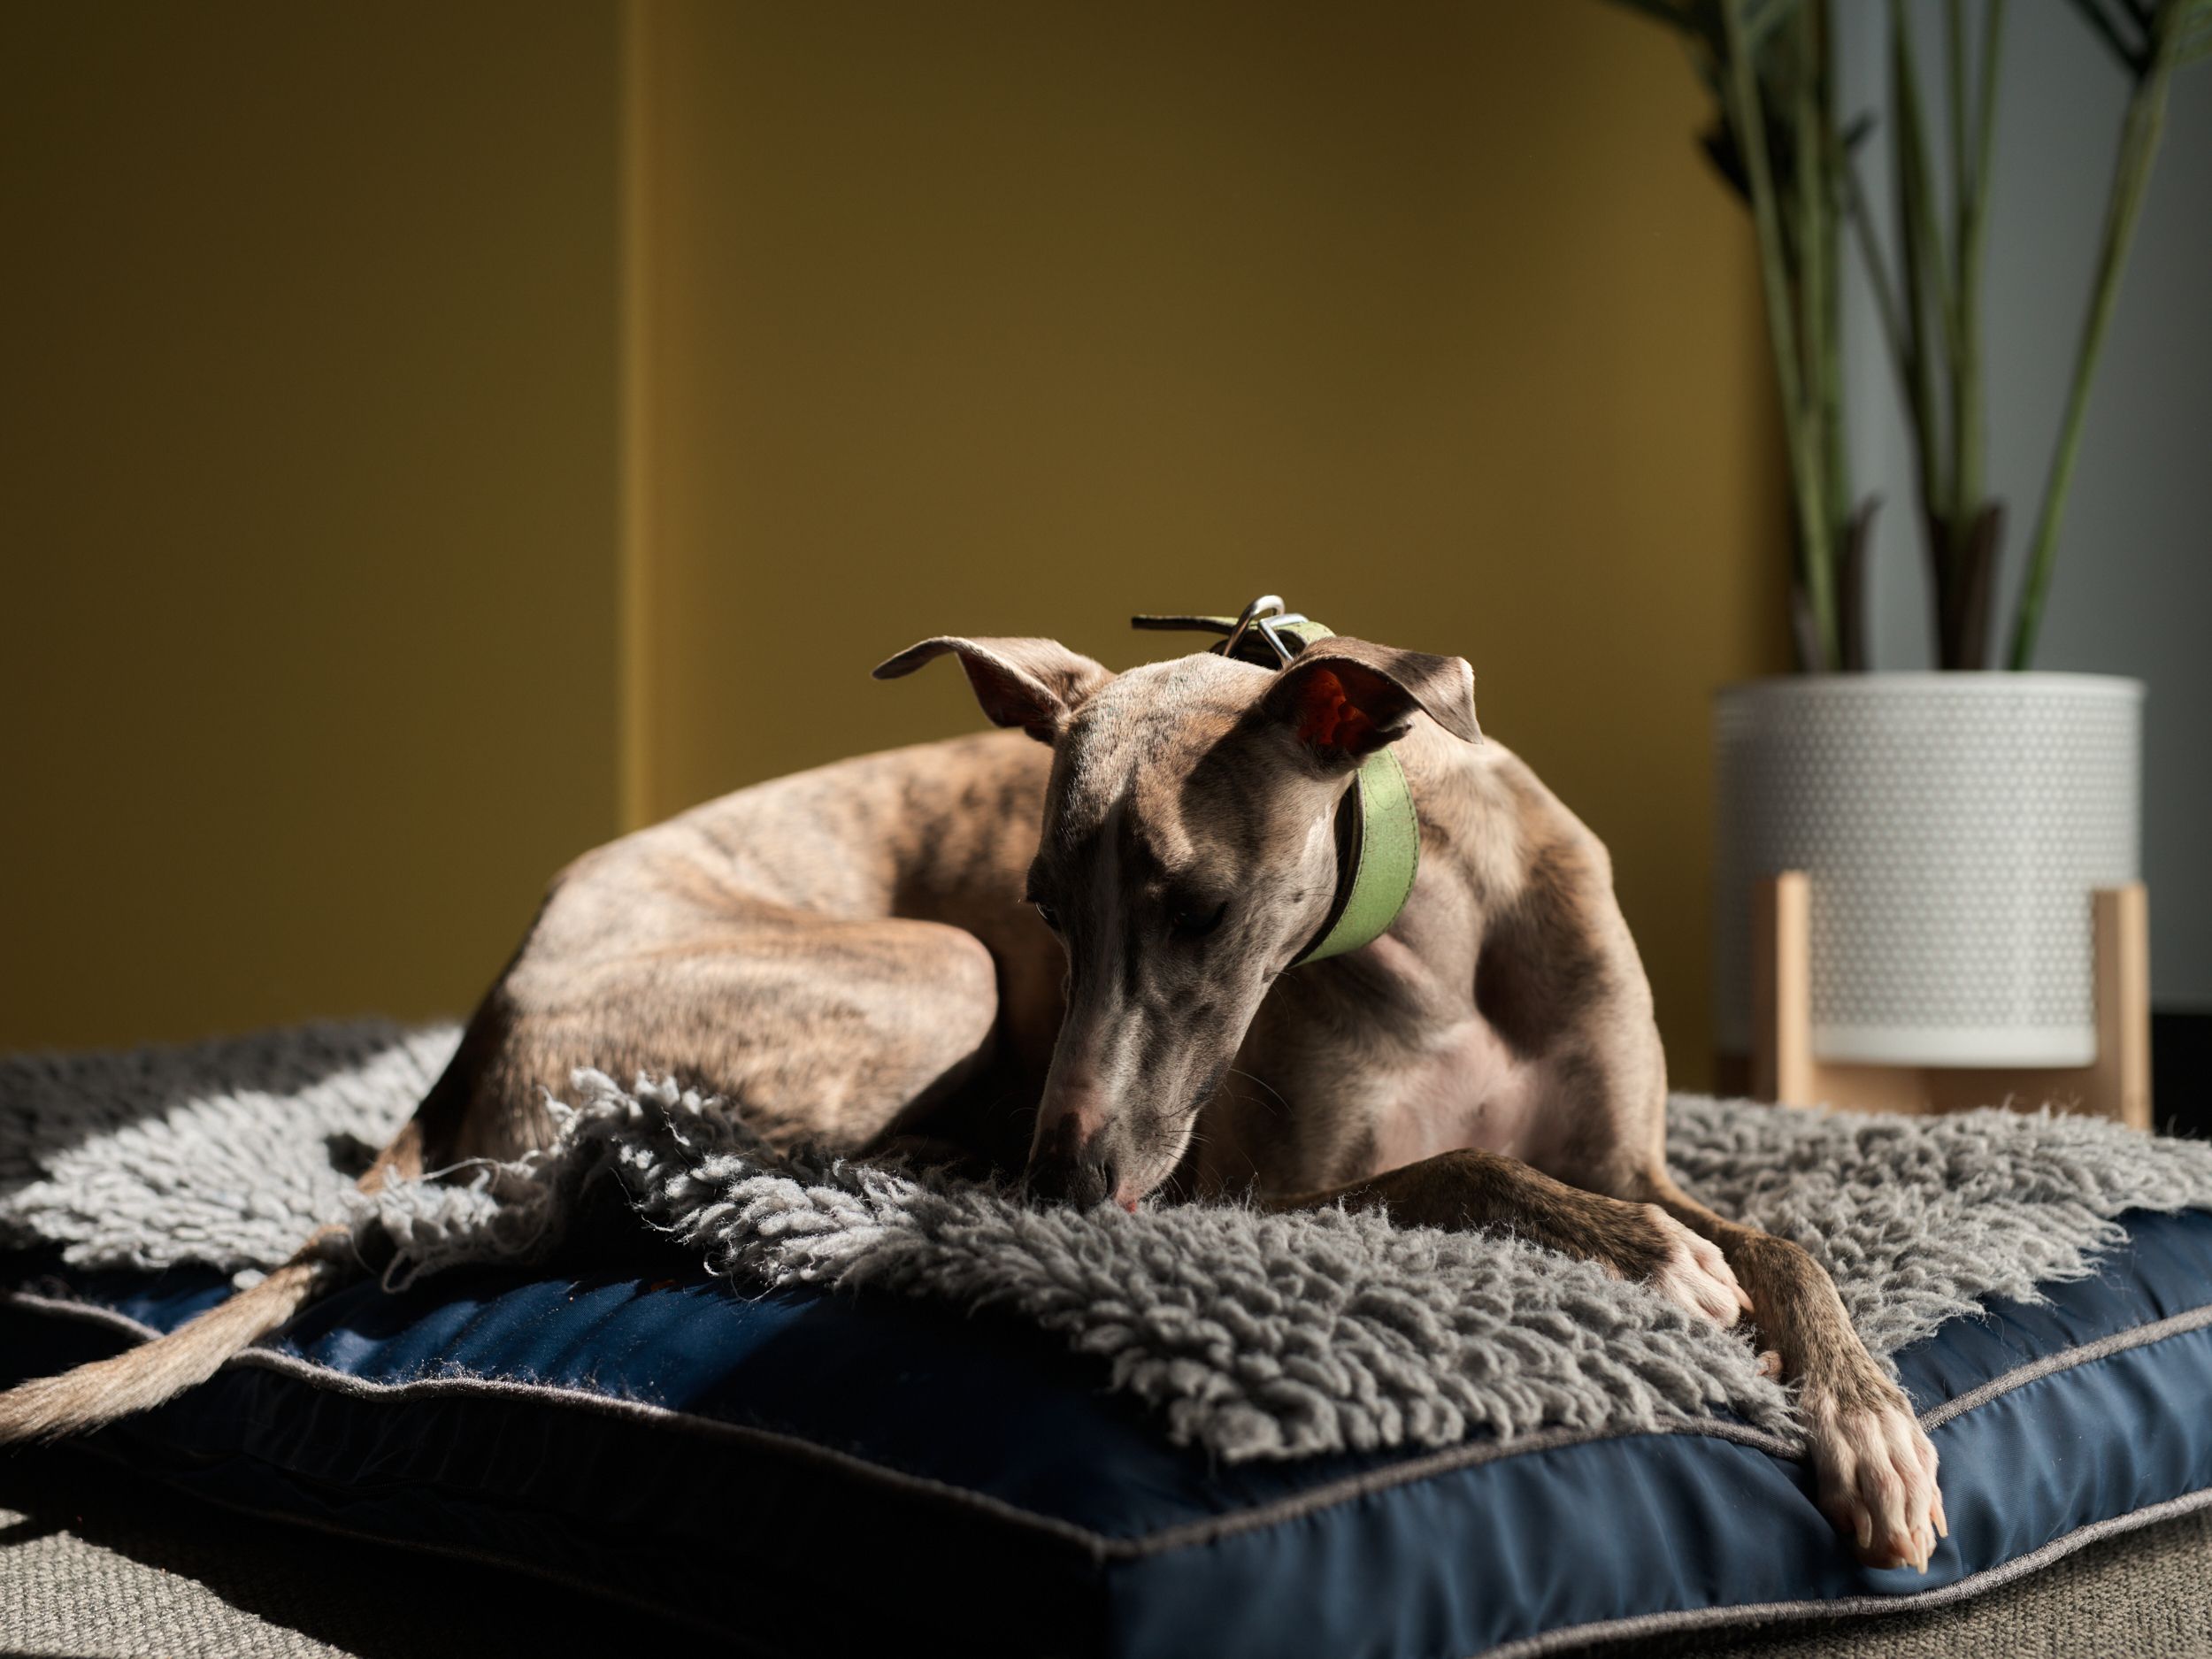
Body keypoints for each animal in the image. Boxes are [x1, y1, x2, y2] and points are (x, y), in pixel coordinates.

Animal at [0, 619, 1938, 1575]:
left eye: (1194, 906)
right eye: (1049, 901)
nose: (1066, 1183)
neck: (1432, 922)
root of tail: (482, 1016)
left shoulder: (1632, 1144)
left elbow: (1785, 1245)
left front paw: (1870, 1427)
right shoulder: (1240, 1186)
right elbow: (1462, 1170)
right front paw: (1654, 1274)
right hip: (931, 969)